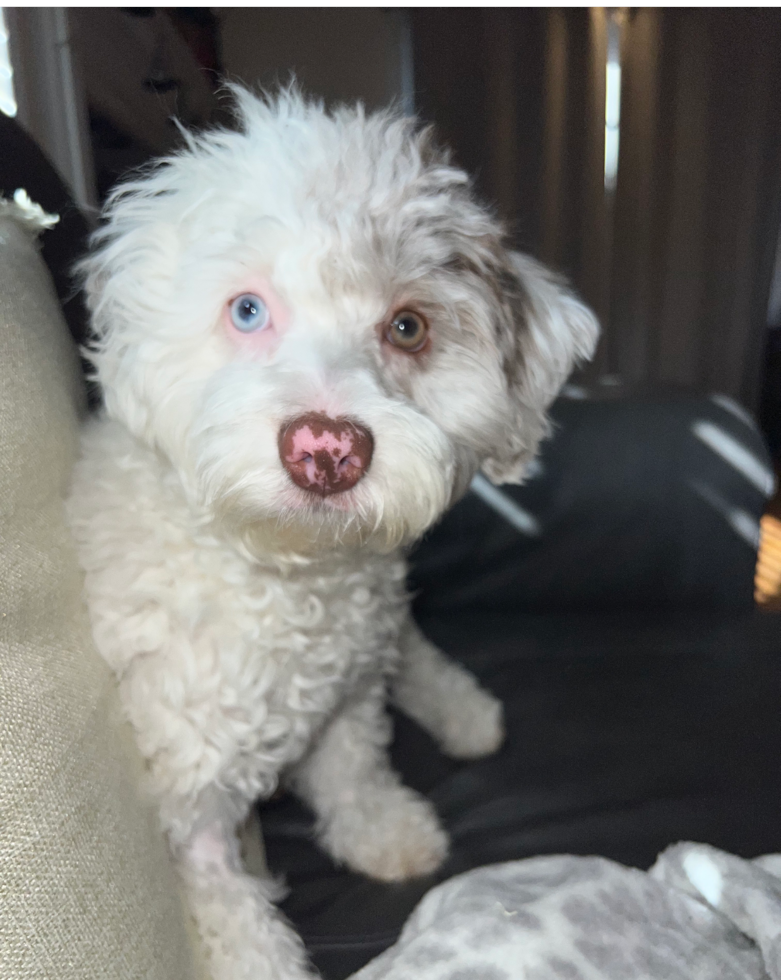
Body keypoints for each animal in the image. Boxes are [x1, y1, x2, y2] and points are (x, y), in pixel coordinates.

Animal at [67, 86, 600, 980]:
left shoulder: (347, 696)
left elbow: (355, 767)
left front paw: (385, 831)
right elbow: (232, 911)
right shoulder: (189, 797)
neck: (288, 577)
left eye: (408, 327)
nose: (325, 450)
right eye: (247, 310)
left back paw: (463, 712)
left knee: (409, 650)